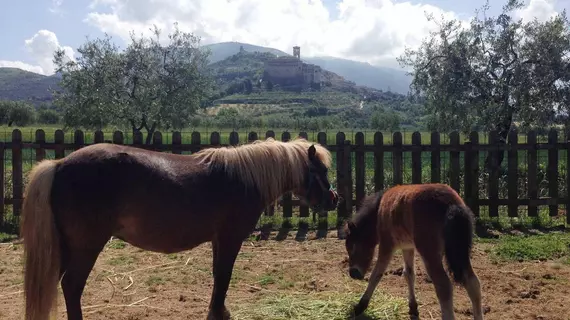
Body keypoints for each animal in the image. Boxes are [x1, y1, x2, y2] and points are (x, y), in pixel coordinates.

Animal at [20, 138, 338, 320]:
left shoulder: (218, 239)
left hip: (65, 247)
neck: (242, 178)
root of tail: (59, 164)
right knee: (72, 286)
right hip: (87, 246)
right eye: (321, 171)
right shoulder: (231, 237)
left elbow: (218, 276)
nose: (335, 199)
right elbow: (225, 276)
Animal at [344, 184, 482, 318]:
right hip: (460, 253)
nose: (353, 273)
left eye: (352, 246)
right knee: (473, 283)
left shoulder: (387, 245)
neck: (378, 212)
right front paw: (413, 307)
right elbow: (409, 274)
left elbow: (376, 275)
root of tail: (452, 205)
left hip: (429, 252)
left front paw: (360, 306)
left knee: (444, 286)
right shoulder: (408, 247)